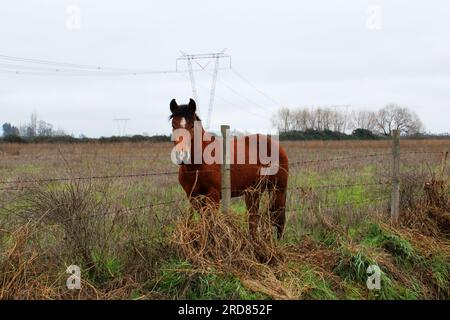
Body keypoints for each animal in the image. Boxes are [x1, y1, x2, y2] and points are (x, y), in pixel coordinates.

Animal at [169, 99, 288, 239]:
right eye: (173, 125)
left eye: (192, 126)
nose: (181, 155)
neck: (197, 167)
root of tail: (277, 145)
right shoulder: (194, 197)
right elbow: (205, 223)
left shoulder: (213, 197)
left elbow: (211, 223)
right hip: (254, 192)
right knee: (254, 218)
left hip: (278, 190)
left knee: (279, 219)